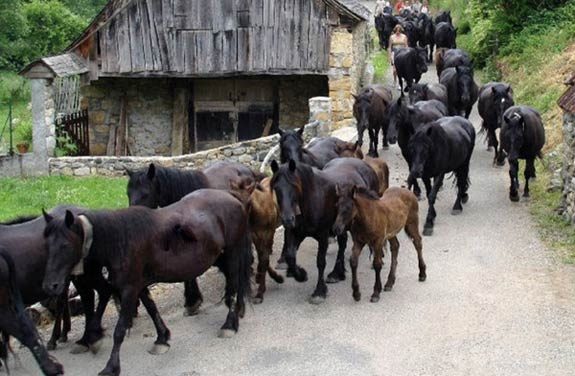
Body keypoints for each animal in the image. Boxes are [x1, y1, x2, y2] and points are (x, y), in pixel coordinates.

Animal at [41, 191, 253, 376]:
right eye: (47, 245)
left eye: (65, 245)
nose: (51, 285)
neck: (120, 240)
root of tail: (233, 199)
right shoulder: (139, 284)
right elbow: (151, 308)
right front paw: (162, 338)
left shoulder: (129, 289)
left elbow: (119, 330)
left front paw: (111, 366)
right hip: (221, 257)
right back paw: (238, 311)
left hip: (232, 252)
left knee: (234, 284)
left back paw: (229, 324)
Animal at [272, 157, 382, 304]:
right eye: (276, 188)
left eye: (294, 186)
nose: (287, 219)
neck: (311, 199)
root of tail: (365, 164)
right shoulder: (295, 233)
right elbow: (290, 256)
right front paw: (301, 275)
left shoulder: (323, 236)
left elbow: (320, 262)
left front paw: (319, 291)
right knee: (342, 244)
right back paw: (336, 273)